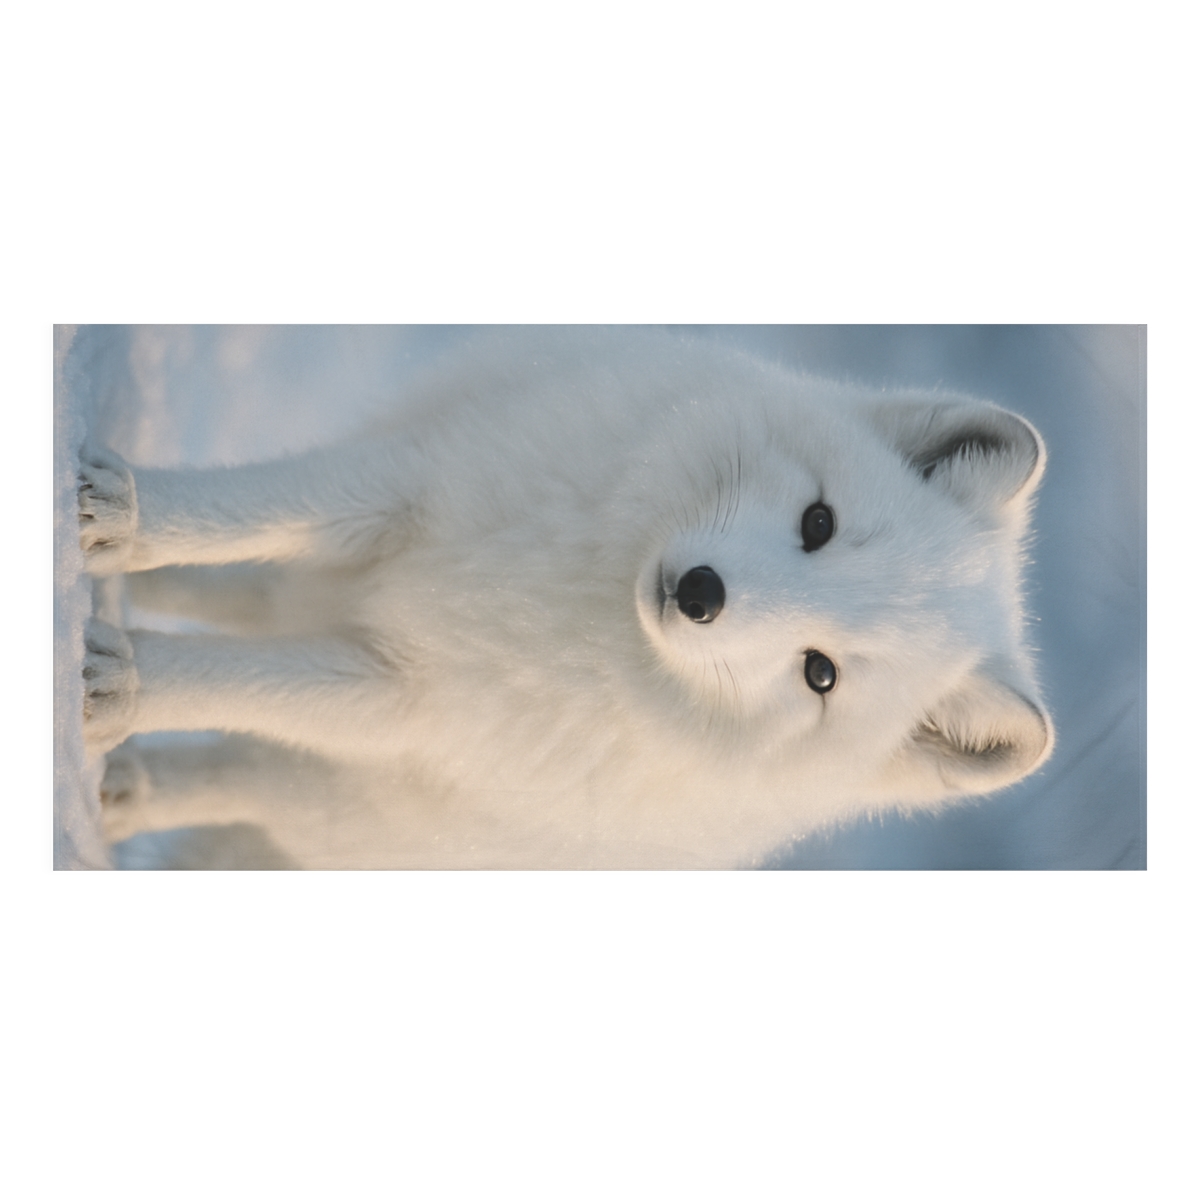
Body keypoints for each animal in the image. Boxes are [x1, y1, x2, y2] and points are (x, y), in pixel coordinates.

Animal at [79, 329, 1054, 868]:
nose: (700, 594)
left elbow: (237, 685)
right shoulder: (411, 481)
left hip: (324, 794)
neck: (585, 599)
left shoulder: (410, 700)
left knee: (224, 770)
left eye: (821, 676)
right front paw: (117, 512)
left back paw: (124, 781)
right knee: (237, 590)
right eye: (820, 521)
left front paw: (118, 684)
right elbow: (247, 509)